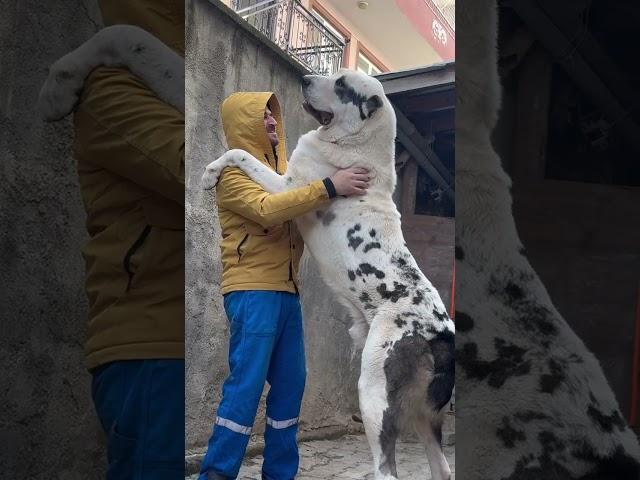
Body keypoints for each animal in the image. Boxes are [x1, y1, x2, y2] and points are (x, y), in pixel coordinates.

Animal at [38, 24, 456, 478]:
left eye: (343, 86)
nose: (305, 78)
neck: (357, 143)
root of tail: (442, 334)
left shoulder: (286, 186)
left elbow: (239, 153)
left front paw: (209, 174)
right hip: (425, 419)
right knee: (443, 467)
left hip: (376, 393)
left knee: (386, 468)